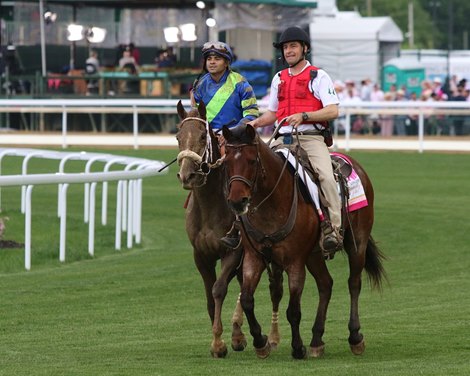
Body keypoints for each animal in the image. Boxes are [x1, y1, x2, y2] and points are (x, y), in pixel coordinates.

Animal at [173, 100, 280, 358]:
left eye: (203, 136)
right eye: (178, 136)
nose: (187, 175)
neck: (210, 205)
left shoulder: (233, 251)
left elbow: (219, 289)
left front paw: (220, 342)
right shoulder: (201, 255)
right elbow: (210, 296)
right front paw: (223, 338)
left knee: (272, 287)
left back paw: (265, 336)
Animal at [222, 122, 388, 358]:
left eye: (252, 160)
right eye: (226, 161)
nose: (237, 202)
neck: (272, 203)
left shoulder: (295, 261)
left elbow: (293, 309)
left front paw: (297, 347)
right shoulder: (254, 257)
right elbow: (246, 300)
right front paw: (261, 343)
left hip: (358, 243)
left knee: (353, 283)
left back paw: (355, 337)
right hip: (314, 255)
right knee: (326, 284)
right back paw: (317, 340)